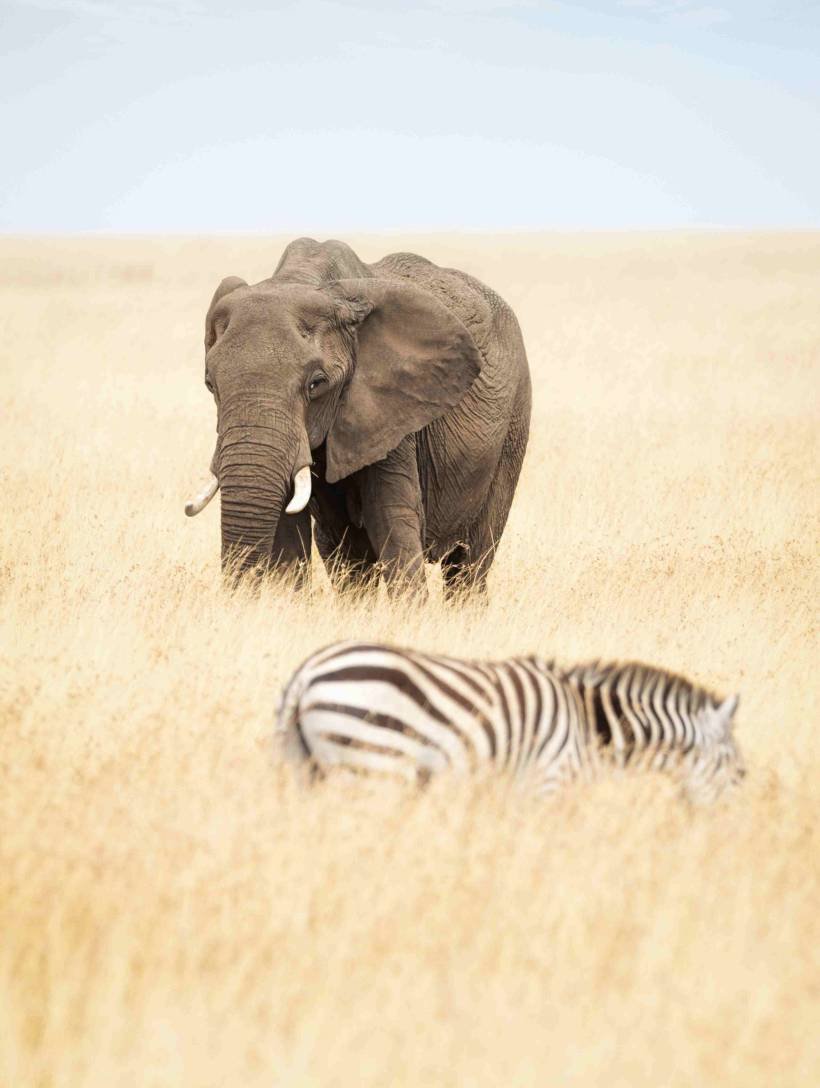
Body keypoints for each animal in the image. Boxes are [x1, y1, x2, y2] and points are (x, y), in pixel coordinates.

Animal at [185, 238, 531, 598]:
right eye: (210, 384)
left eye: (316, 384)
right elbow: (289, 527)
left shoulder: (392, 409)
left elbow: (389, 516)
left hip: (513, 425)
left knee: (469, 563)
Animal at [275, 641, 745, 803]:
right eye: (741, 774)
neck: (590, 727)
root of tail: (305, 674)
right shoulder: (547, 784)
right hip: (375, 767)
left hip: (306, 770)